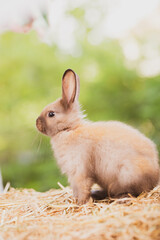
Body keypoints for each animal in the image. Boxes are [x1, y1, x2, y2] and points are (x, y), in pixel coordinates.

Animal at [36, 68, 160, 203]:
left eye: (51, 114)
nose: (36, 123)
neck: (68, 129)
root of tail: (155, 176)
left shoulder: (79, 170)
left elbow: (82, 188)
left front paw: (80, 203)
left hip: (126, 176)